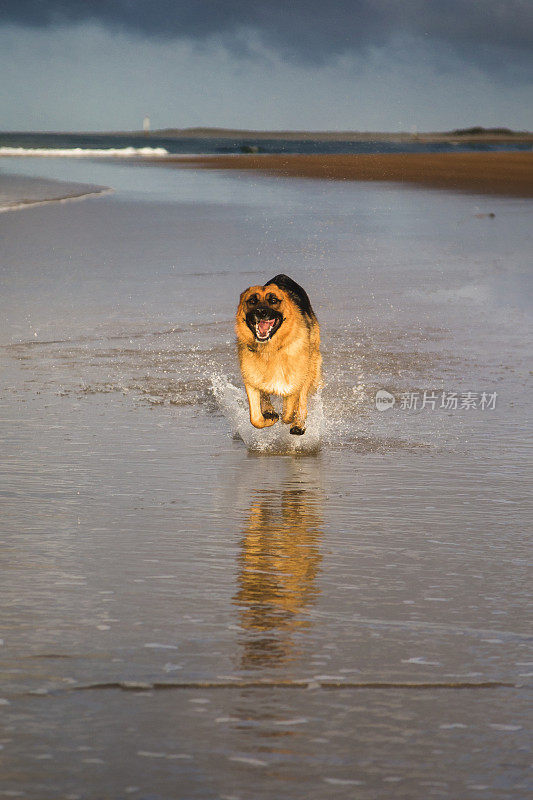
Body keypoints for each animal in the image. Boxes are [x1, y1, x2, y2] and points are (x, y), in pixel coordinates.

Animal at [236, 276, 320, 438]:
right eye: (252, 301)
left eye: (273, 300)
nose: (261, 312)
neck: (270, 350)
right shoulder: (250, 379)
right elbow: (255, 418)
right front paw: (269, 416)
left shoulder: (295, 379)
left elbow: (289, 411)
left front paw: (292, 418)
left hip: (311, 366)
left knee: (302, 401)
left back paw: (298, 424)